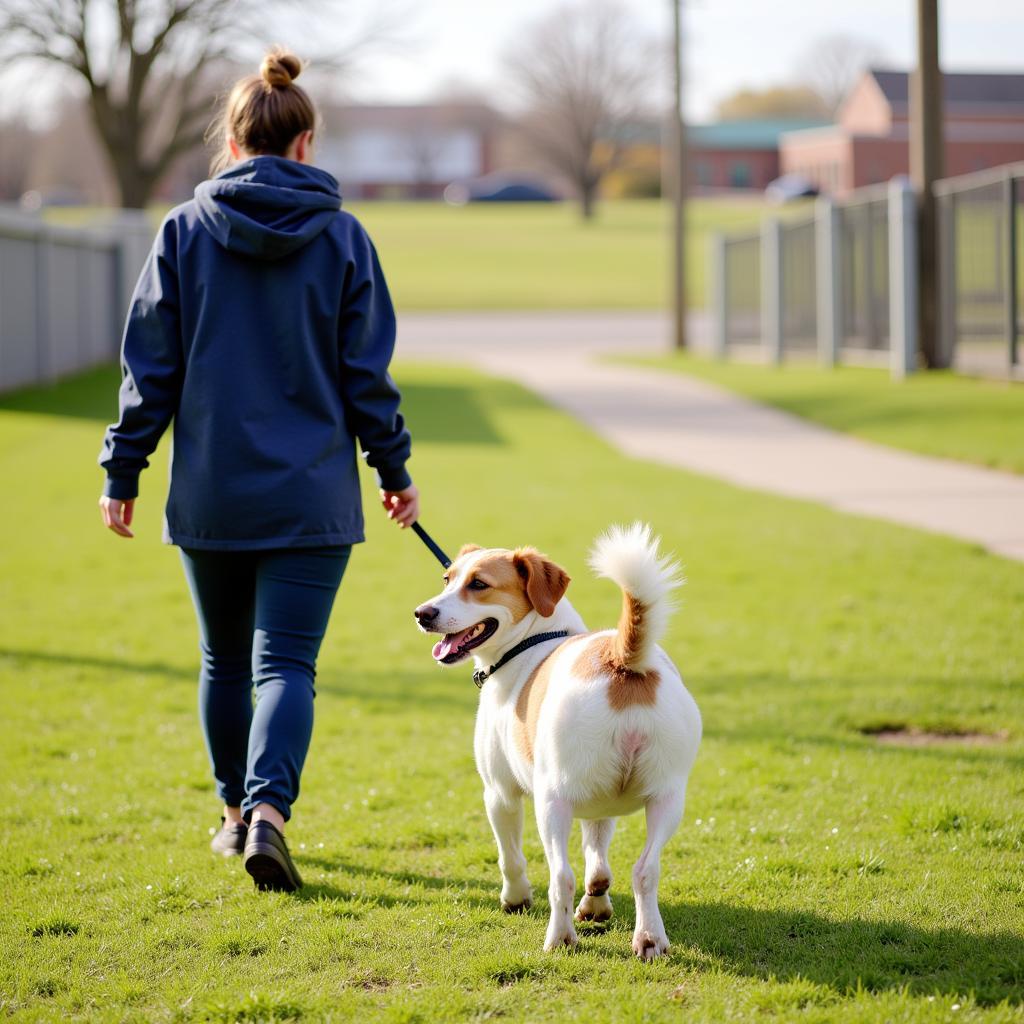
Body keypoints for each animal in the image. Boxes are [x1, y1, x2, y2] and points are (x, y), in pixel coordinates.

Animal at [411, 524, 700, 954]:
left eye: (478, 584)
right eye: (448, 579)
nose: (422, 613)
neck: (534, 638)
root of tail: (620, 658)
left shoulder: (499, 794)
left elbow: (511, 858)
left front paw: (515, 899)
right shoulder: (600, 808)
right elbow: (599, 866)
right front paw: (596, 906)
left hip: (551, 803)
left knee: (561, 876)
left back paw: (560, 938)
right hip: (667, 798)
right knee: (645, 870)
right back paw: (649, 939)